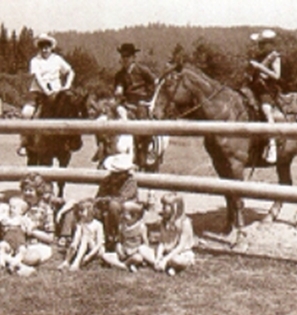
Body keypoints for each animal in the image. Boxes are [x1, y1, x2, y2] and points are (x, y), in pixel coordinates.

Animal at [154, 61, 297, 244]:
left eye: (169, 84)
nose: (153, 113)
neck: (226, 114)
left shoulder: (236, 165)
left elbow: (238, 199)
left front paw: (240, 237)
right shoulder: (220, 164)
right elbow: (227, 195)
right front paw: (227, 228)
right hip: (283, 160)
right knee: (285, 184)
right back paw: (269, 218)